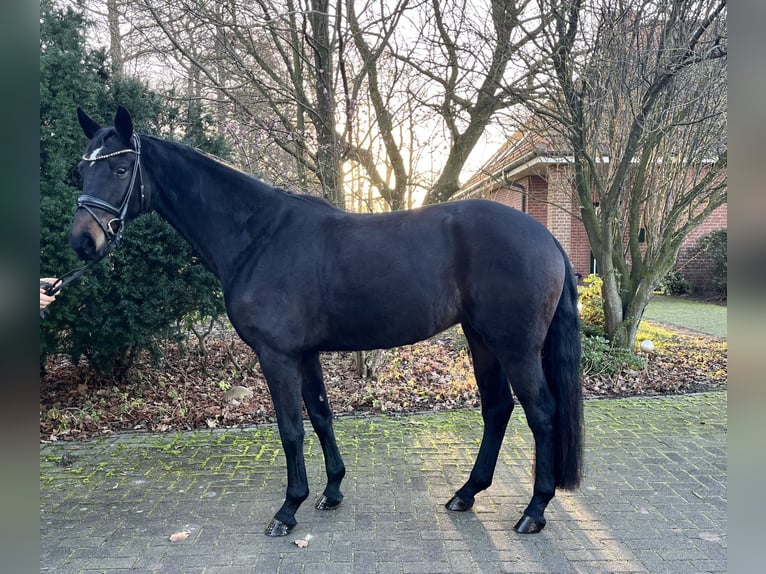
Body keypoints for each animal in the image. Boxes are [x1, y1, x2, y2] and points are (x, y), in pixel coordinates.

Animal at [69, 106, 583, 537]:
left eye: (119, 168)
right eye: (82, 169)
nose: (82, 242)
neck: (259, 234)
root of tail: (546, 237)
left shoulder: (276, 355)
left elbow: (290, 428)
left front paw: (287, 509)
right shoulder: (305, 353)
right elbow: (320, 416)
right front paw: (332, 490)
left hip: (514, 346)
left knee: (541, 412)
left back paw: (534, 511)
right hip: (481, 340)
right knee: (497, 409)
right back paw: (466, 493)